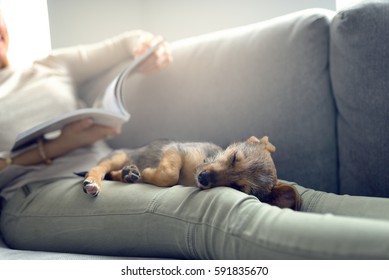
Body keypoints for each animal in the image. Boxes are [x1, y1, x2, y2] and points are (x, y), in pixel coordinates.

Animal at [82, 136, 300, 210]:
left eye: (237, 188)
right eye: (234, 157)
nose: (203, 177)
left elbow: (169, 177)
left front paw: (144, 173)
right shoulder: (175, 149)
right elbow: (169, 174)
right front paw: (149, 172)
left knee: (112, 173)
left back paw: (128, 173)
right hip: (117, 157)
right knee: (98, 169)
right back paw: (93, 182)